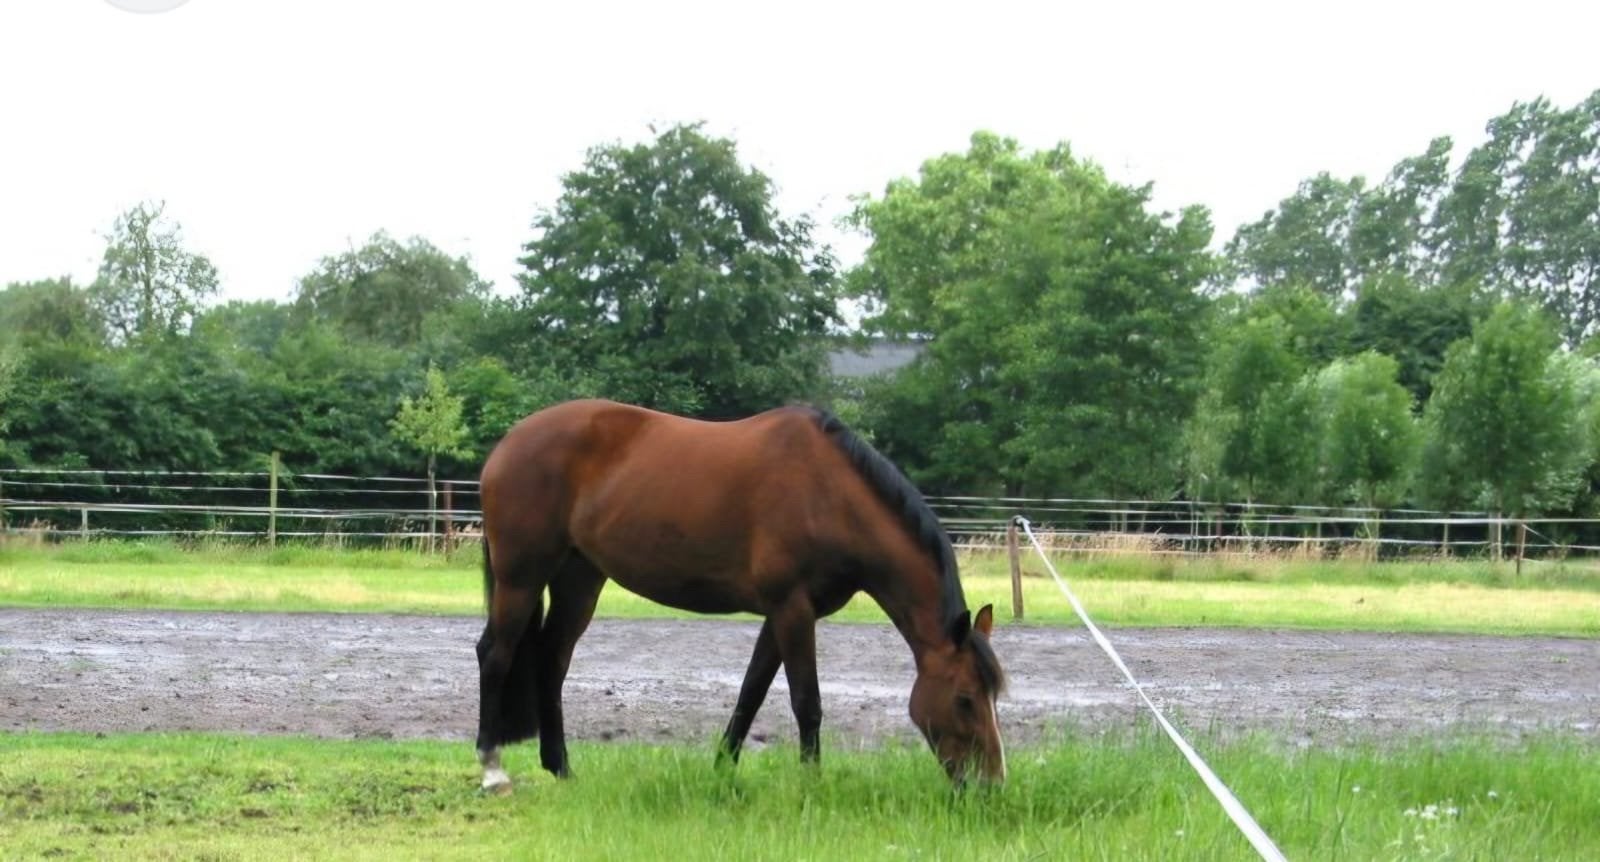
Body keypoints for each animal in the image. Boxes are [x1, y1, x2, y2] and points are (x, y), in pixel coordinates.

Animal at [473, 398, 1006, 793]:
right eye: (964, 699)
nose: (991, 786)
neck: (829, 496)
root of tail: (508, 444)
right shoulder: (792, 610)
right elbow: (806, 702)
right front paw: (811, 786)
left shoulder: (782, 614)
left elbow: (751, 694)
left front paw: (721, 774)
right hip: (521, 577)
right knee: (495, 654)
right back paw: (492, 768)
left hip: (579, 579)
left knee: (552, 660)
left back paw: (561, 768)